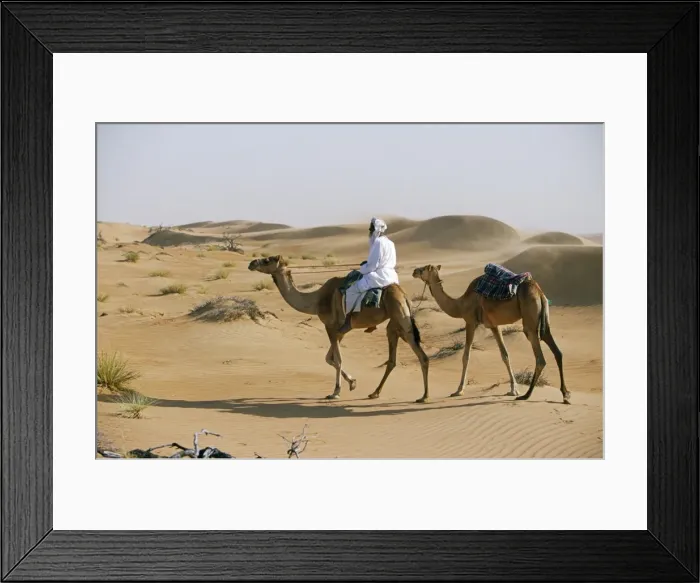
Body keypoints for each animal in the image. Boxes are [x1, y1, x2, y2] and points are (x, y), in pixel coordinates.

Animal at [248, 255, 431, 403]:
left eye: (267, 260)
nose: (251, 263)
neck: (316, 301)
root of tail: (404, 295)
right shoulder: (341, 330)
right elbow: (329, 358)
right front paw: (352, 382)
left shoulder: (330, 326)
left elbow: (337, 360)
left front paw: (335, 392)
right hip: (395, 324)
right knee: (394, 359)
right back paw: (376, 393)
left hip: (401, 317)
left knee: (421, 355)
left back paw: (423, 396)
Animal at [412, 264, 569, 404]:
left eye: (424, 268)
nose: (414, 271)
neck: (460, 304)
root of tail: (539, 292)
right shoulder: (494, 325)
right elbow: (505, 355)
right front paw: (513, 389)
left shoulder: (470, 322)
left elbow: (466, 356)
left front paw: (459, 390)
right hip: (543, 320)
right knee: (557, 351)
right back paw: (565, 395)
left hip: (530, 321)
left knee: (540, 357)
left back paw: (526, 395)